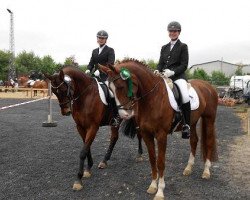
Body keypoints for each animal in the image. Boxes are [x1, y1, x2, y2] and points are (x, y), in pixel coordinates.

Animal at [98, 59, 218, 200]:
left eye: (121, 86)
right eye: (110, 89)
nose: (123, 115)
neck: (152, 98)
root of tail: (208, 85)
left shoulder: (161, 135)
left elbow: (160, 162)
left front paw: (160, 192)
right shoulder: (146, 134)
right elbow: (152, 159)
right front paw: (152, 186)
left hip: (209, 119)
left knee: (209, 142)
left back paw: (206, 171)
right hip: (192, 123)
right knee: (194, 141)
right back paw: (188, 168)